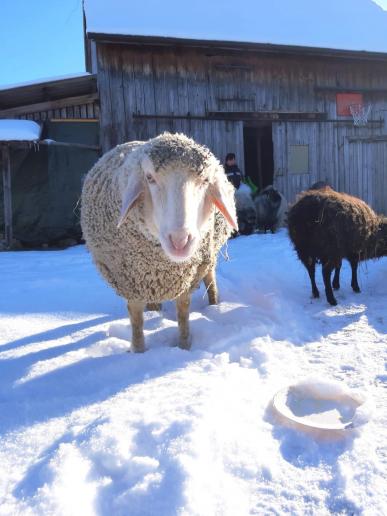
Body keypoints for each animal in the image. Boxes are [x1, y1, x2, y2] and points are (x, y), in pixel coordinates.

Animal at [82, 132, 236, 350]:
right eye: (149, 178)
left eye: (206, 180)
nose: (180, 241)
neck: (160, 267)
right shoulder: (130, 282)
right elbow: (136, 319)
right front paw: (138, 350)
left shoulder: (187, 276)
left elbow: (183, 311)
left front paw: (184, 345)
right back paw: (154, 310)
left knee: (210, 278)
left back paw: (214, 305)